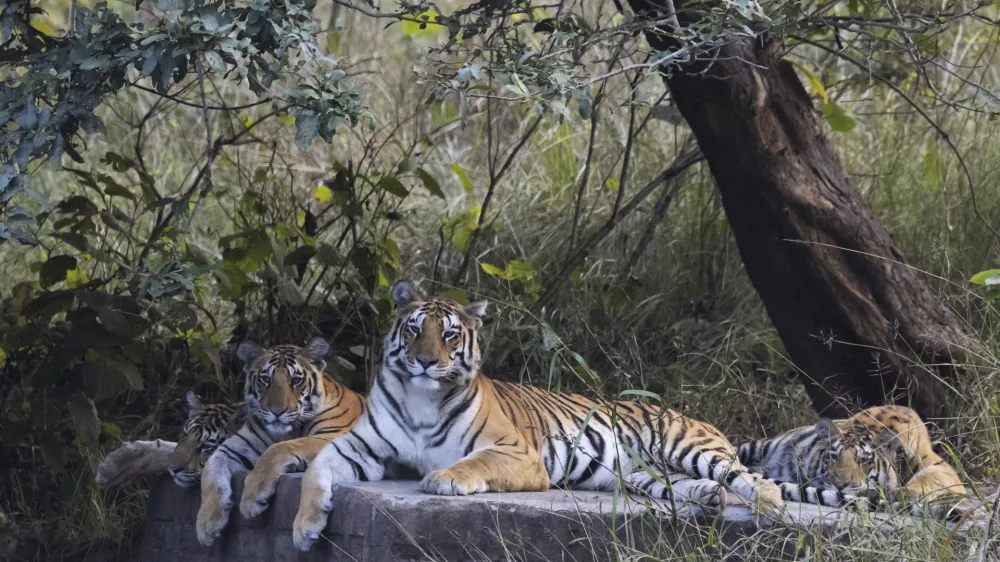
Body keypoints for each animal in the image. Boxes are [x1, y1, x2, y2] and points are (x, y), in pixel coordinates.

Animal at [196, 337, 366, 547]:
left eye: (296, 380)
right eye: (265, 379)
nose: (277, 411)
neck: (288, 431)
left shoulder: (333, 435)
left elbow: (277, 449)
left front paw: (252, 496)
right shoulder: (237, 445)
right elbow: (211, 468)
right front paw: (207, 522)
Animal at [289, 281, 860, 551]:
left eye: (449, 334)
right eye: (414, 329)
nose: (427, 360)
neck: (421, 397)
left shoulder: (517, 453)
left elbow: (471, 463)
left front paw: (444, 480)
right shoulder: (359, 446)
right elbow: (316, 469)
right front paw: (304, 529)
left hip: (689, 446)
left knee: (750, 477)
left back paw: (766, 507)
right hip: (642, 474)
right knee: (687, 486)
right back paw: (709, 501)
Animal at [737, 405, 967, 515]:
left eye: (863, 461)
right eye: (833, 457)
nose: (840, 484)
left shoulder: (940, 467)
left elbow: (928, 479)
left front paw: (904, 493)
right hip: (758, 446)